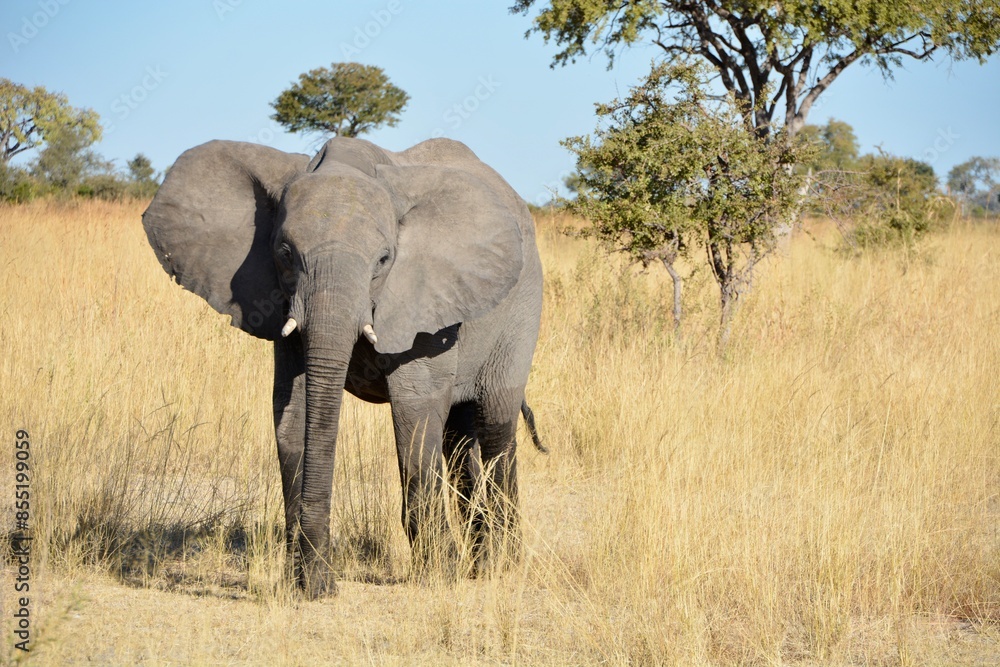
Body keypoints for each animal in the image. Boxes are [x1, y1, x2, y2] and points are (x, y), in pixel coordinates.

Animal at [142, 136, 543, 598]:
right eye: (284, 253)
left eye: (384, 260)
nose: (323, 585)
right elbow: (293, 414)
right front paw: (304, 584)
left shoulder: (423, 298)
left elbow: (415, 413)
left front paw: (438, 578)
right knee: (459, 441)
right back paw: (480, 565)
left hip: (523, 310)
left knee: (494, 423)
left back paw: (501, 566)